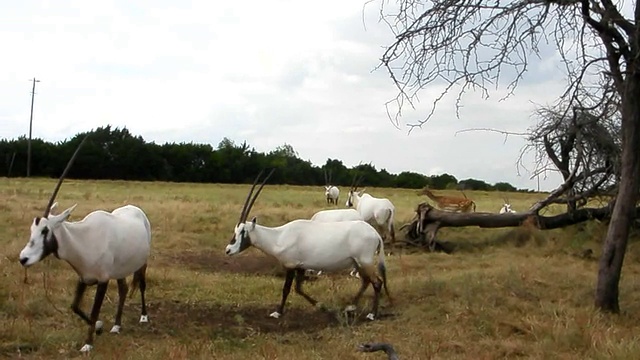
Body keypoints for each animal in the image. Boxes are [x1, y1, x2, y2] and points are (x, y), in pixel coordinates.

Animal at [18, 134, 152, 352]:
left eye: (45, 230)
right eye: (32, 229)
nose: (23, 259)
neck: (83, 239)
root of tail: (136, 210)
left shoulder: (103, 280)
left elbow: (95, 310)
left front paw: (88, 343)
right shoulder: (84, 278)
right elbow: (74, 306)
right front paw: (98, 327)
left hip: (142, 263)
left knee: (141, 284)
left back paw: (143, 316)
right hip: (120, 270)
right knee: (123, 289)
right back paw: (116, 325)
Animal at [225, 169, 390, 320]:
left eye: (243, 231)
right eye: (235, 230)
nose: (228, 250)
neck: (279, 236)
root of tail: (375, 234)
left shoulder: (291, 266)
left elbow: (287, 289)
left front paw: (278, 312)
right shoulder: (300, 267)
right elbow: (298, 288)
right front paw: (321, 306)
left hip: (364, 261)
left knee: (377, 282)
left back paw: (371, 314)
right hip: (357, 262)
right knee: (366, 281)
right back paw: (350, 307)